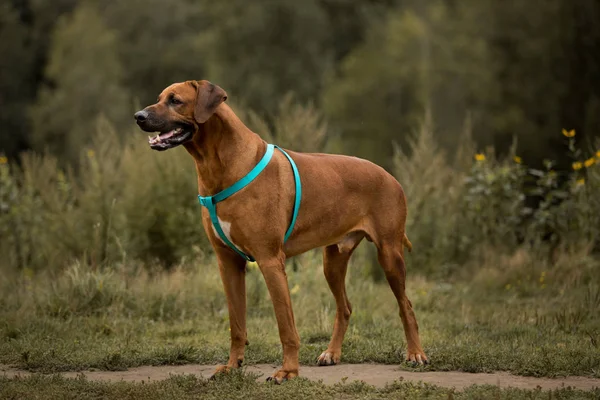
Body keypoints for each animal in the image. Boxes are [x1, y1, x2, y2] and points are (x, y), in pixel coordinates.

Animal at [135, 79, 426, 382]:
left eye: (175, 100)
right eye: (159, 98)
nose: (138, 116)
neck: (220, 163)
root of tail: (389, 175)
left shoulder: (270, 260)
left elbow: (286, 326)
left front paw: (288, 371)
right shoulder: (228, 263)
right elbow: (236, 325)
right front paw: (232, 365)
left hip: (389, 254)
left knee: (406, 306)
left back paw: (415, 354)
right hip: (332, 260)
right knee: (344, 307)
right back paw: (331, 353)